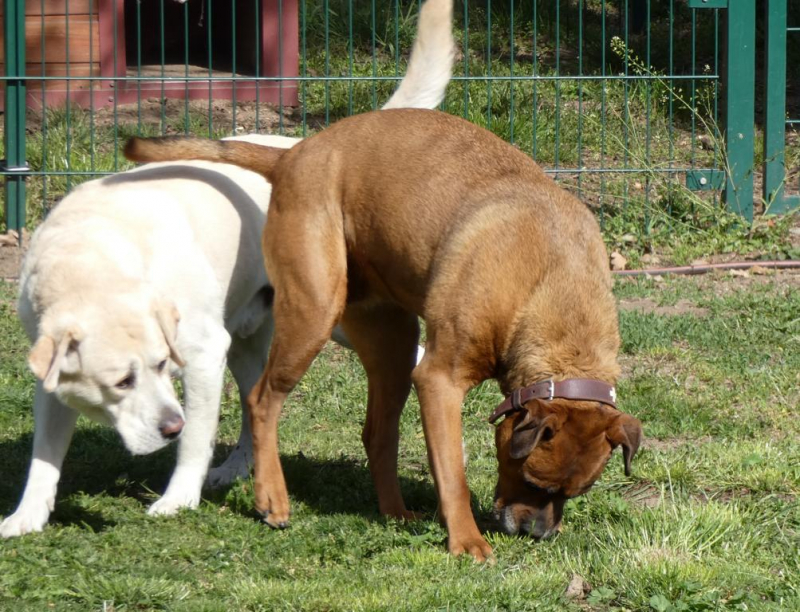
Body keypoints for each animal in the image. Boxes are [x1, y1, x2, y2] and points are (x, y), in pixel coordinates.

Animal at [0, 0, 454, 538]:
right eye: (122, 381)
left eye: (160, 365)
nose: (168, 426)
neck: (92, 257)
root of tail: (305, 148)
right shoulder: (50, 381)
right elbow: (43, 460)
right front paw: (25, 517)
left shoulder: (201, 353)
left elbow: (195, 440)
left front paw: (177, 499)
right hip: (252, 341)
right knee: (257, 407)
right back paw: (239, 469)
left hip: (328, 319)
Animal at [123, 108, 643, 561]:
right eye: (533, 480)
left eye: (577, 492)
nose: (539, 534)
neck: (552, 296)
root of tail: (295, 154)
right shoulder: (438, 380)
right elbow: (453, 474)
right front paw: (466, 541)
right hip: (313, 313)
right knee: (262, 400)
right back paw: (273, 499)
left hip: (392, 344)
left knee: (377, 433)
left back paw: (395, 513)